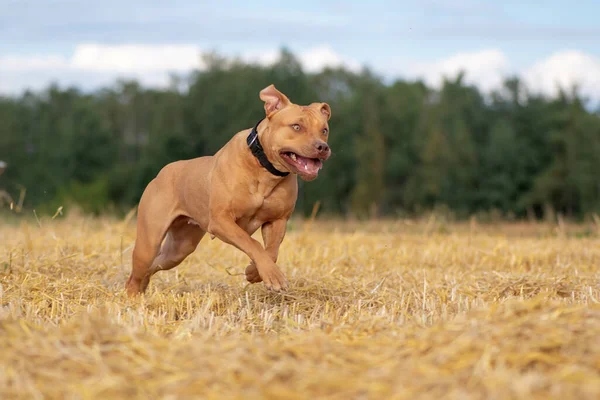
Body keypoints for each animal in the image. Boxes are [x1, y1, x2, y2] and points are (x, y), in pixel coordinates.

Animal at [126, 84, 332, 296]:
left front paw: (255, 272)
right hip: (149, 242)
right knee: (138, 270)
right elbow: (252, 243)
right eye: (297, 126)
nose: (323, 147)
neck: (264, 168)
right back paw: (132, 296)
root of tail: (161, 174)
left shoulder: (278, 220)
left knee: (154, 265)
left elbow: (272, 251)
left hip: (180, 247)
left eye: (324, 130)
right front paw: (269, 273)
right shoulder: (222, 221)